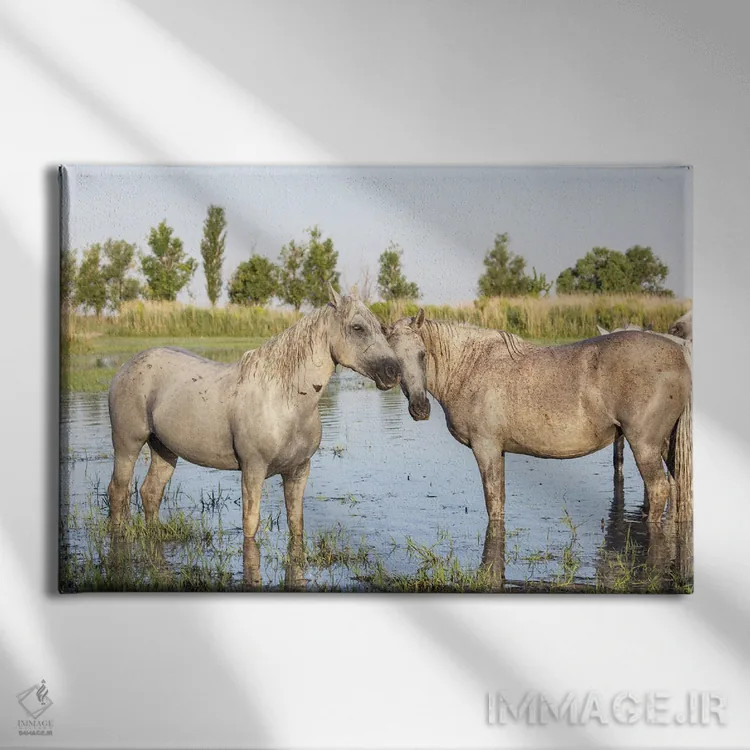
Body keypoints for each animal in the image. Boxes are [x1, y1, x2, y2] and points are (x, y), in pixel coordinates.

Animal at [107, 286, 400, 539]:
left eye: (381, 328)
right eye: (357, 328)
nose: (393, 371)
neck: (286, 402)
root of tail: (126, 367)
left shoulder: (298, 471)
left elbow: (296, 524)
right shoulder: (253, 470)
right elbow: (251, 525)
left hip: (164, 450)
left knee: (150, 492)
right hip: (127, 445)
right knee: (118, 491)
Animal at [386, 310, 691, 526]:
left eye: (422, 355)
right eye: (394, 361)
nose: (420, 408)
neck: (471, 365)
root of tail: (679, 354)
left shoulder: (486, 448)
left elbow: (493, 503)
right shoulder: (498, 450)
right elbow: (499, 501)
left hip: (644, 445)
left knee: (659, 490)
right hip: (665, 445)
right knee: (676, 488)